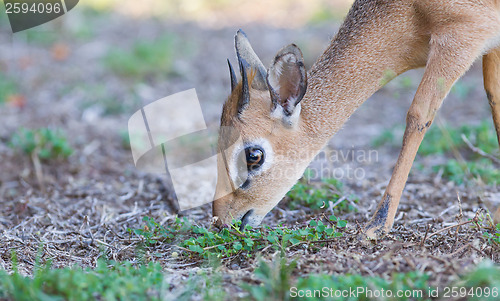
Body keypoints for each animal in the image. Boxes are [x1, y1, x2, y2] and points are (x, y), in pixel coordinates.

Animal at [213, 0, 500, 239]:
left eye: (254, 155)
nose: (221, 221)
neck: (411, 10)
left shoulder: (458, 39)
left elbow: (418, 115)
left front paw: (376, 226)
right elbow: (494, 97)